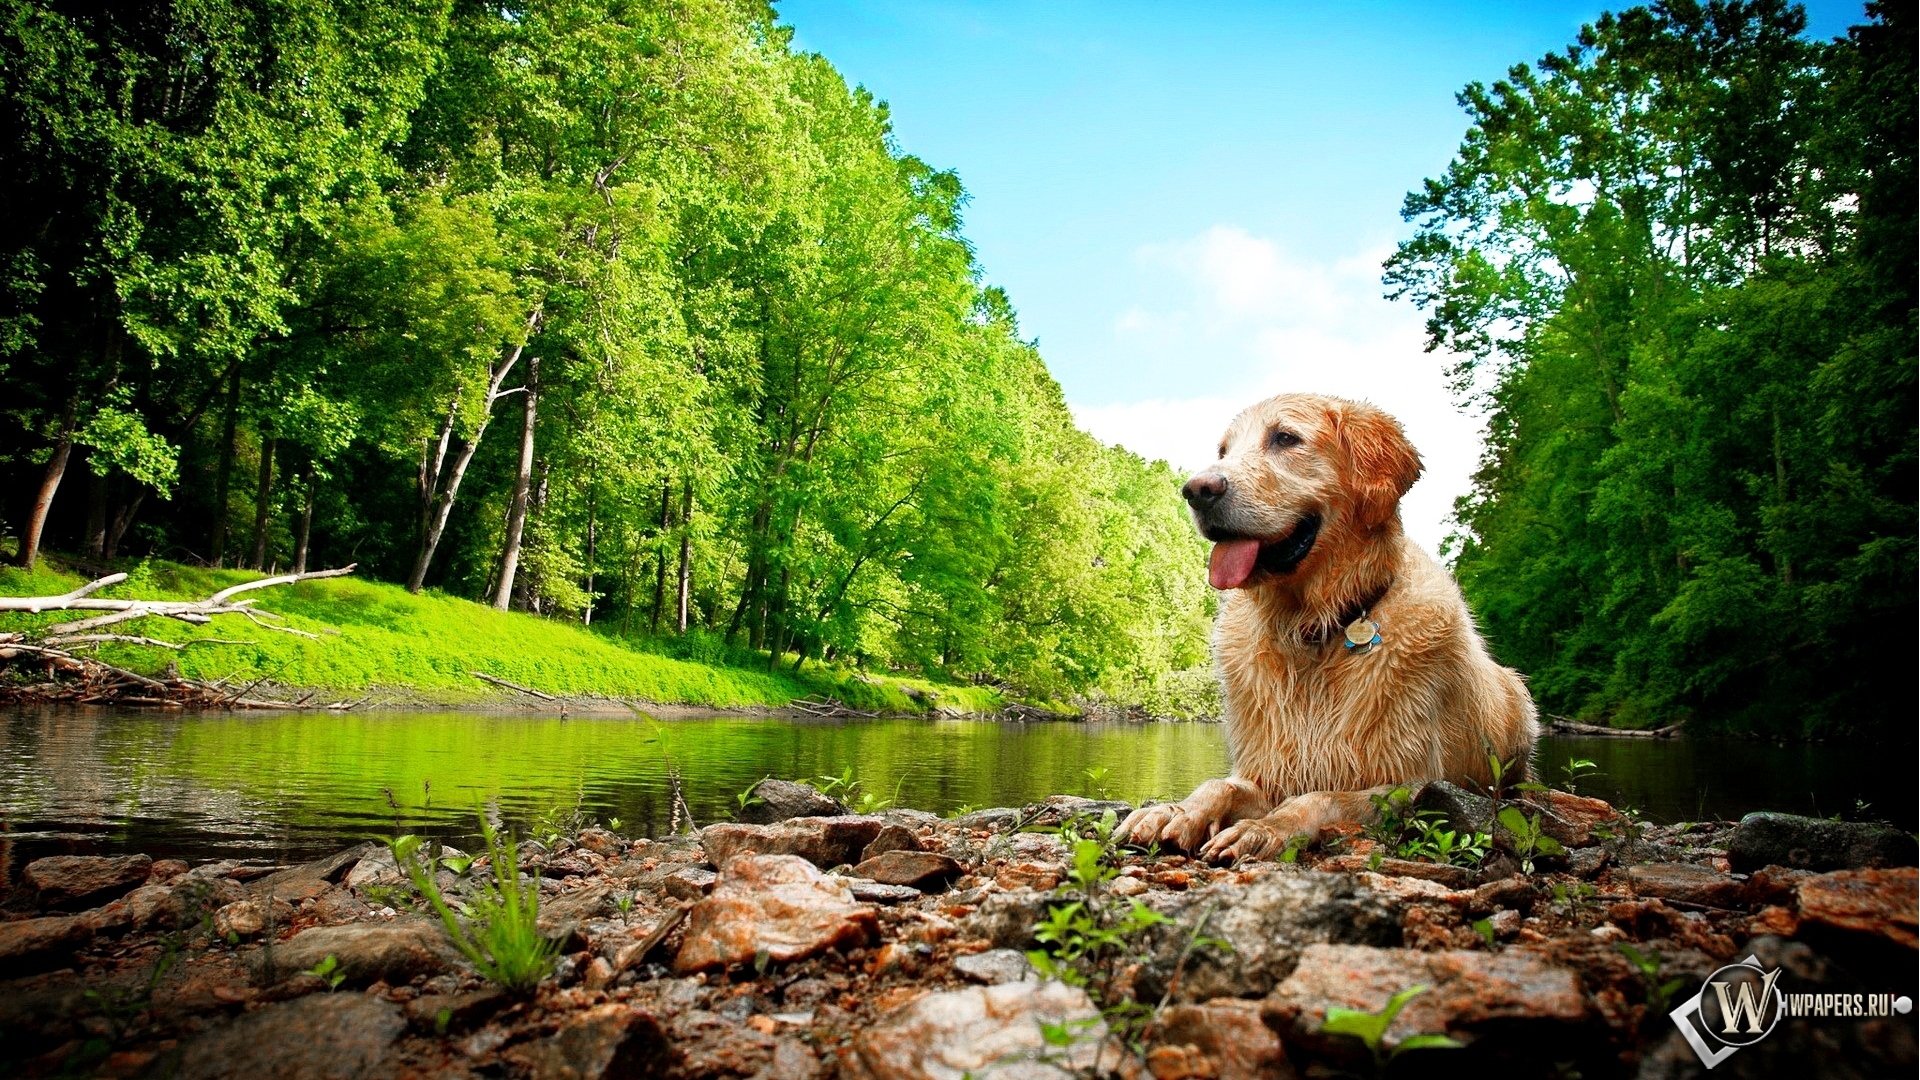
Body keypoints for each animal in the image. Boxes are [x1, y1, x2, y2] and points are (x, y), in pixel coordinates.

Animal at [1121, 393, 1536, 857]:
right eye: (1223, 451)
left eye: (1286, 438)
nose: (1197, 490)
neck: (1314, 630)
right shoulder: (1268, 770)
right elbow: (1216, 785)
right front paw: (1172, 812)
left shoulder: (1409, 784)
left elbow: (1317, 798)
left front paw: (1262, 829)